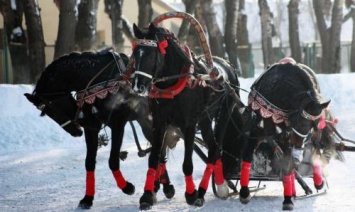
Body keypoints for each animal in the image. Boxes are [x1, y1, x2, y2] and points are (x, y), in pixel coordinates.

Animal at [23, 48, 174, 209]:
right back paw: (158, 186)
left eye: (50, 110)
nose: (77, 129)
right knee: (159, 148)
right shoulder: (92, 128)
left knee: (160, 149)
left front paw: (127, 187)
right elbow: (89, 162)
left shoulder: (118, 124)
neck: (99, 82)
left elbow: (113, 160)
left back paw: (163, 188)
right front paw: (87, 198)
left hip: (147, 120)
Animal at [131, 22, 245, 209]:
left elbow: (187, 164)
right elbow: (154, 158)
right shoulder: (159, 124)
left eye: (150, 54)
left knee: (215, 148)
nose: (137, 86)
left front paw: (191, 194)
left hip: (224, 114)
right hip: (205, 120)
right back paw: (217, 186)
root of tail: (228, 66)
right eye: (135, 54)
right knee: (213, 146)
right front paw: (147, 195)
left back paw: (210, 190)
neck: (172, 85)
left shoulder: (189, 125)